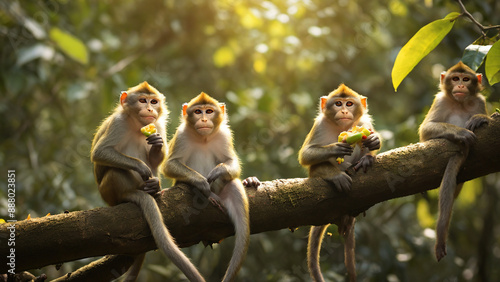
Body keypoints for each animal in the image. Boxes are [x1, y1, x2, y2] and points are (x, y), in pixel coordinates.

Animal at [91, 82, 204, 282]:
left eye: (154, 101)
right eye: (143, 100)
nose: (150, 109)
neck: (137, 124)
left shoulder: (157, 124)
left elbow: (156, 159)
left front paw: (157, 145)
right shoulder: (118, 123)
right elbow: (101, 152)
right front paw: (141, 167)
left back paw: (154, 189)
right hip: (109, 192)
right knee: (115, 170)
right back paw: (128, 195)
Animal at [298, 83, 380, 282]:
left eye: (349, 103)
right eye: (338, 103)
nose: (343, 110)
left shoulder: (364, 123)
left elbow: (369, 138)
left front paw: (373, 143)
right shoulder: (319, 125)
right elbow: (305, 155)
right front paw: (336, 148)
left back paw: (364, 161)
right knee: (317, 166)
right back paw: (335, 175)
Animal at [418, 61, 492, 262]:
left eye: (466, 79)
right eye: (455, 78)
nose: (460, 86)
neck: (460, 103)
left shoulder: (479, 101)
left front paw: (480, 118)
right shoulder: (440, 100)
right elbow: (426, 130)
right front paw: (461, 133)